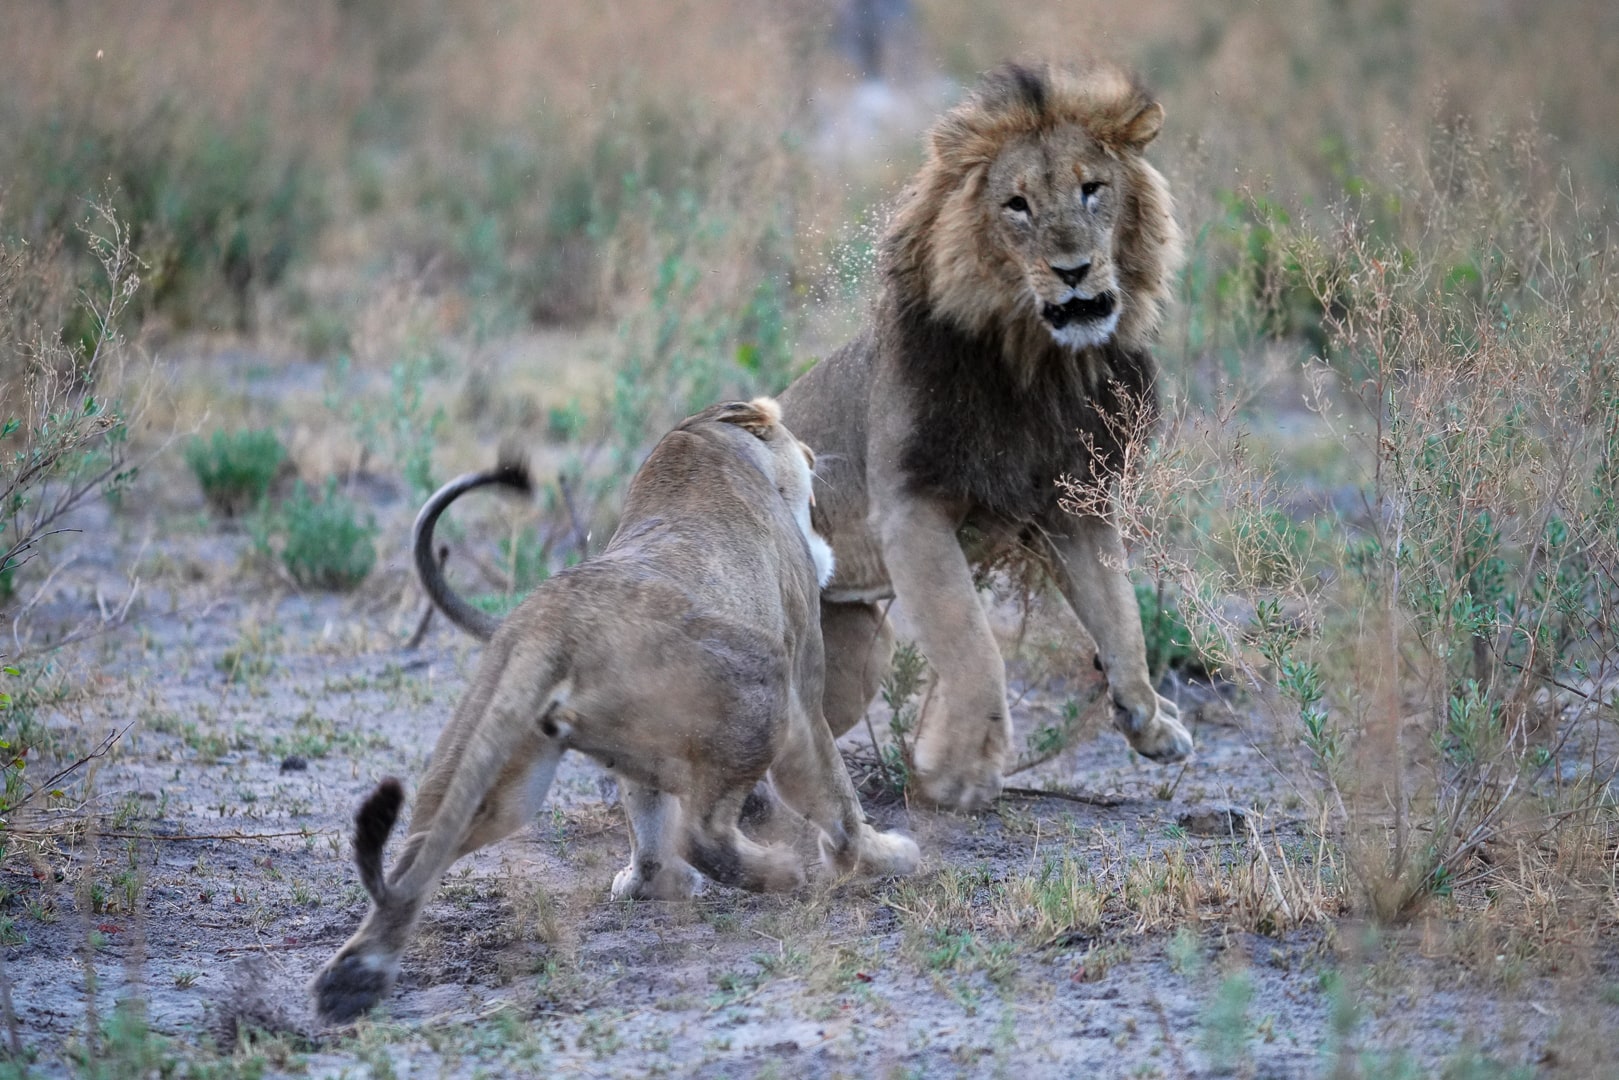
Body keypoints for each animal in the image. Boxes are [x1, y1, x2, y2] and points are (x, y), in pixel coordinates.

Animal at [311, 398, 920, 1023]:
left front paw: (647, 882)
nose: (812, 455)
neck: (700, 439)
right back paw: (776, 871)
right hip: (764, 684)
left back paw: (353, 979)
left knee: (415, 859)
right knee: (703, 831)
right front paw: (879, 856)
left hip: (497, 776)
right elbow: (835, 797)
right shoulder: (802, 684)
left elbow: (647, 815)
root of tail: (548, 624)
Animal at [777, 61, 1195, 811]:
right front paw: (958, 766)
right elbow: (973, 646)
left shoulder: (1074, 507)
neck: (1044, 366)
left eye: (1092, 189)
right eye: (1016, 206)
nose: (1072, 270)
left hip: (856, 650)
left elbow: (1123, 622)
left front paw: (1151, 723)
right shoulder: (910, 509)